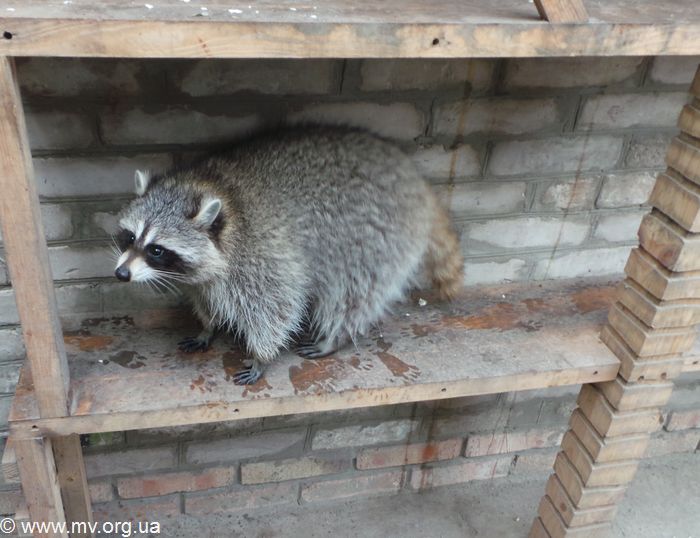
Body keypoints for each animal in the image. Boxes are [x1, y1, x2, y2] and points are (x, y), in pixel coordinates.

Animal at [114, 127, 463, 385]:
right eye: (130, 237)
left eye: (156, 249)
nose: (121, 274)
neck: (212, 187)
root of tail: (414, 180)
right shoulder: (203, 277)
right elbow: (207, 296)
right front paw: (208, 326)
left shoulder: (262, 254)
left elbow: (276, 307)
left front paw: (262, 356)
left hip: (376, 237)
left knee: (354, 291)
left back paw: (336, 335)